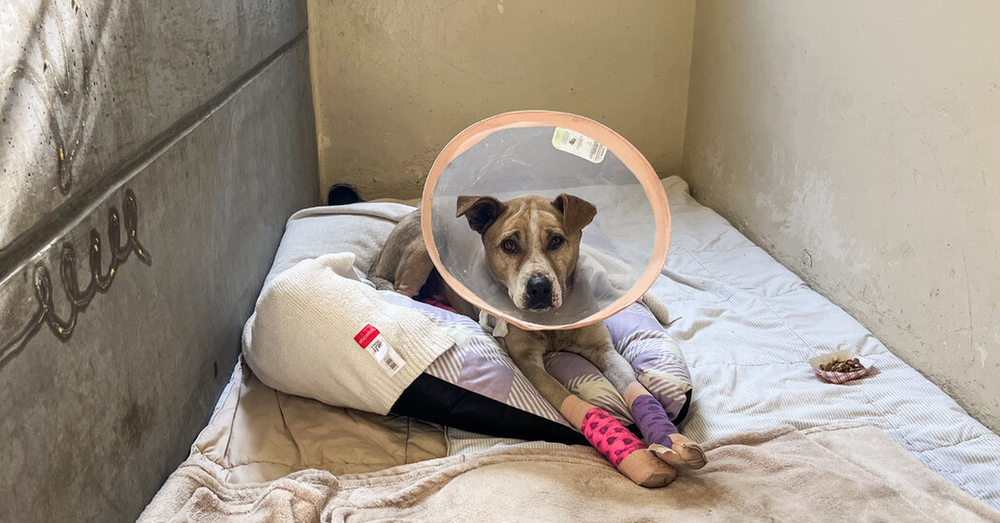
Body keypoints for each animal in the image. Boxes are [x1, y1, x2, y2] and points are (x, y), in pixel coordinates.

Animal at [372, 192, 708, 488]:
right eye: (509, 245)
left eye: (557, 240)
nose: (539, 287)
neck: (553, 323)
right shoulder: (530, 364)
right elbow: (571, 399)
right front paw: (637, 456)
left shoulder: (604, 350)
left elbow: (638, 392)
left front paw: (670, 439)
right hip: (420, 254)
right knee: (401, 291)